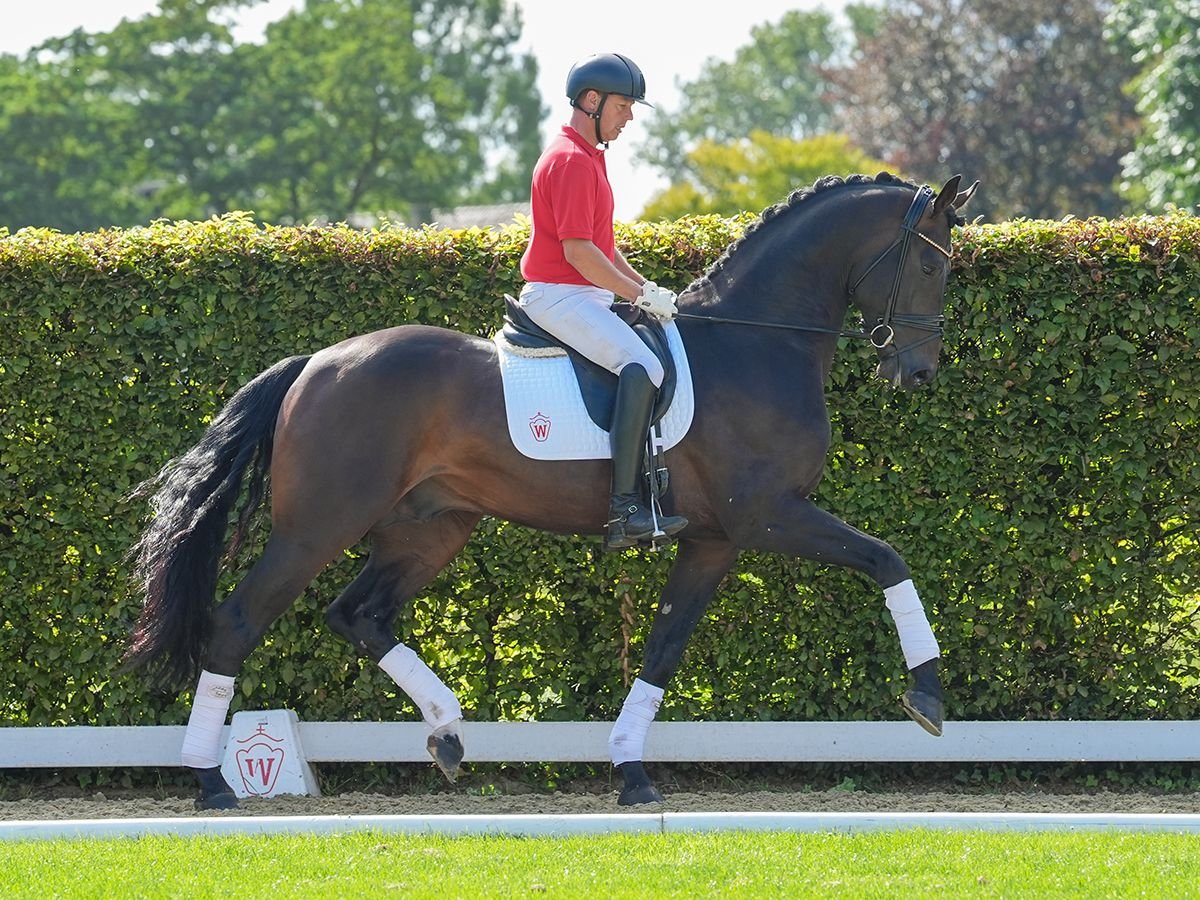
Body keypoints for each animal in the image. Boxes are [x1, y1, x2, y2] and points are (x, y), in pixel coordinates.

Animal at [126, 170, 979, 811]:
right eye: (930, 265)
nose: (917, 373)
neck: (754, 344)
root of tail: (314, 362)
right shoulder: (769, 517)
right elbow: (888, 559)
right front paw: (928, 700)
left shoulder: (713, 539)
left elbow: (664, 649)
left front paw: (630, 770)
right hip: (317, 528)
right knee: (240, 622)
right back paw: (210, 783)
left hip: (430, 528)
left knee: (360, 614)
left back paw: (447, 733)